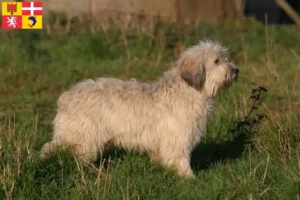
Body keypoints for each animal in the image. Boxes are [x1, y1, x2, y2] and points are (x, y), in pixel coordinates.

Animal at [39, 40, 239, 178]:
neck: (188, 90)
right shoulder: (177, 140)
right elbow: (180, 160)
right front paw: (189, 178)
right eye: (217, 61)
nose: (236, 70)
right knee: (57, 150)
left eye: (226, 58)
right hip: (82, 137)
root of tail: (67, 95)